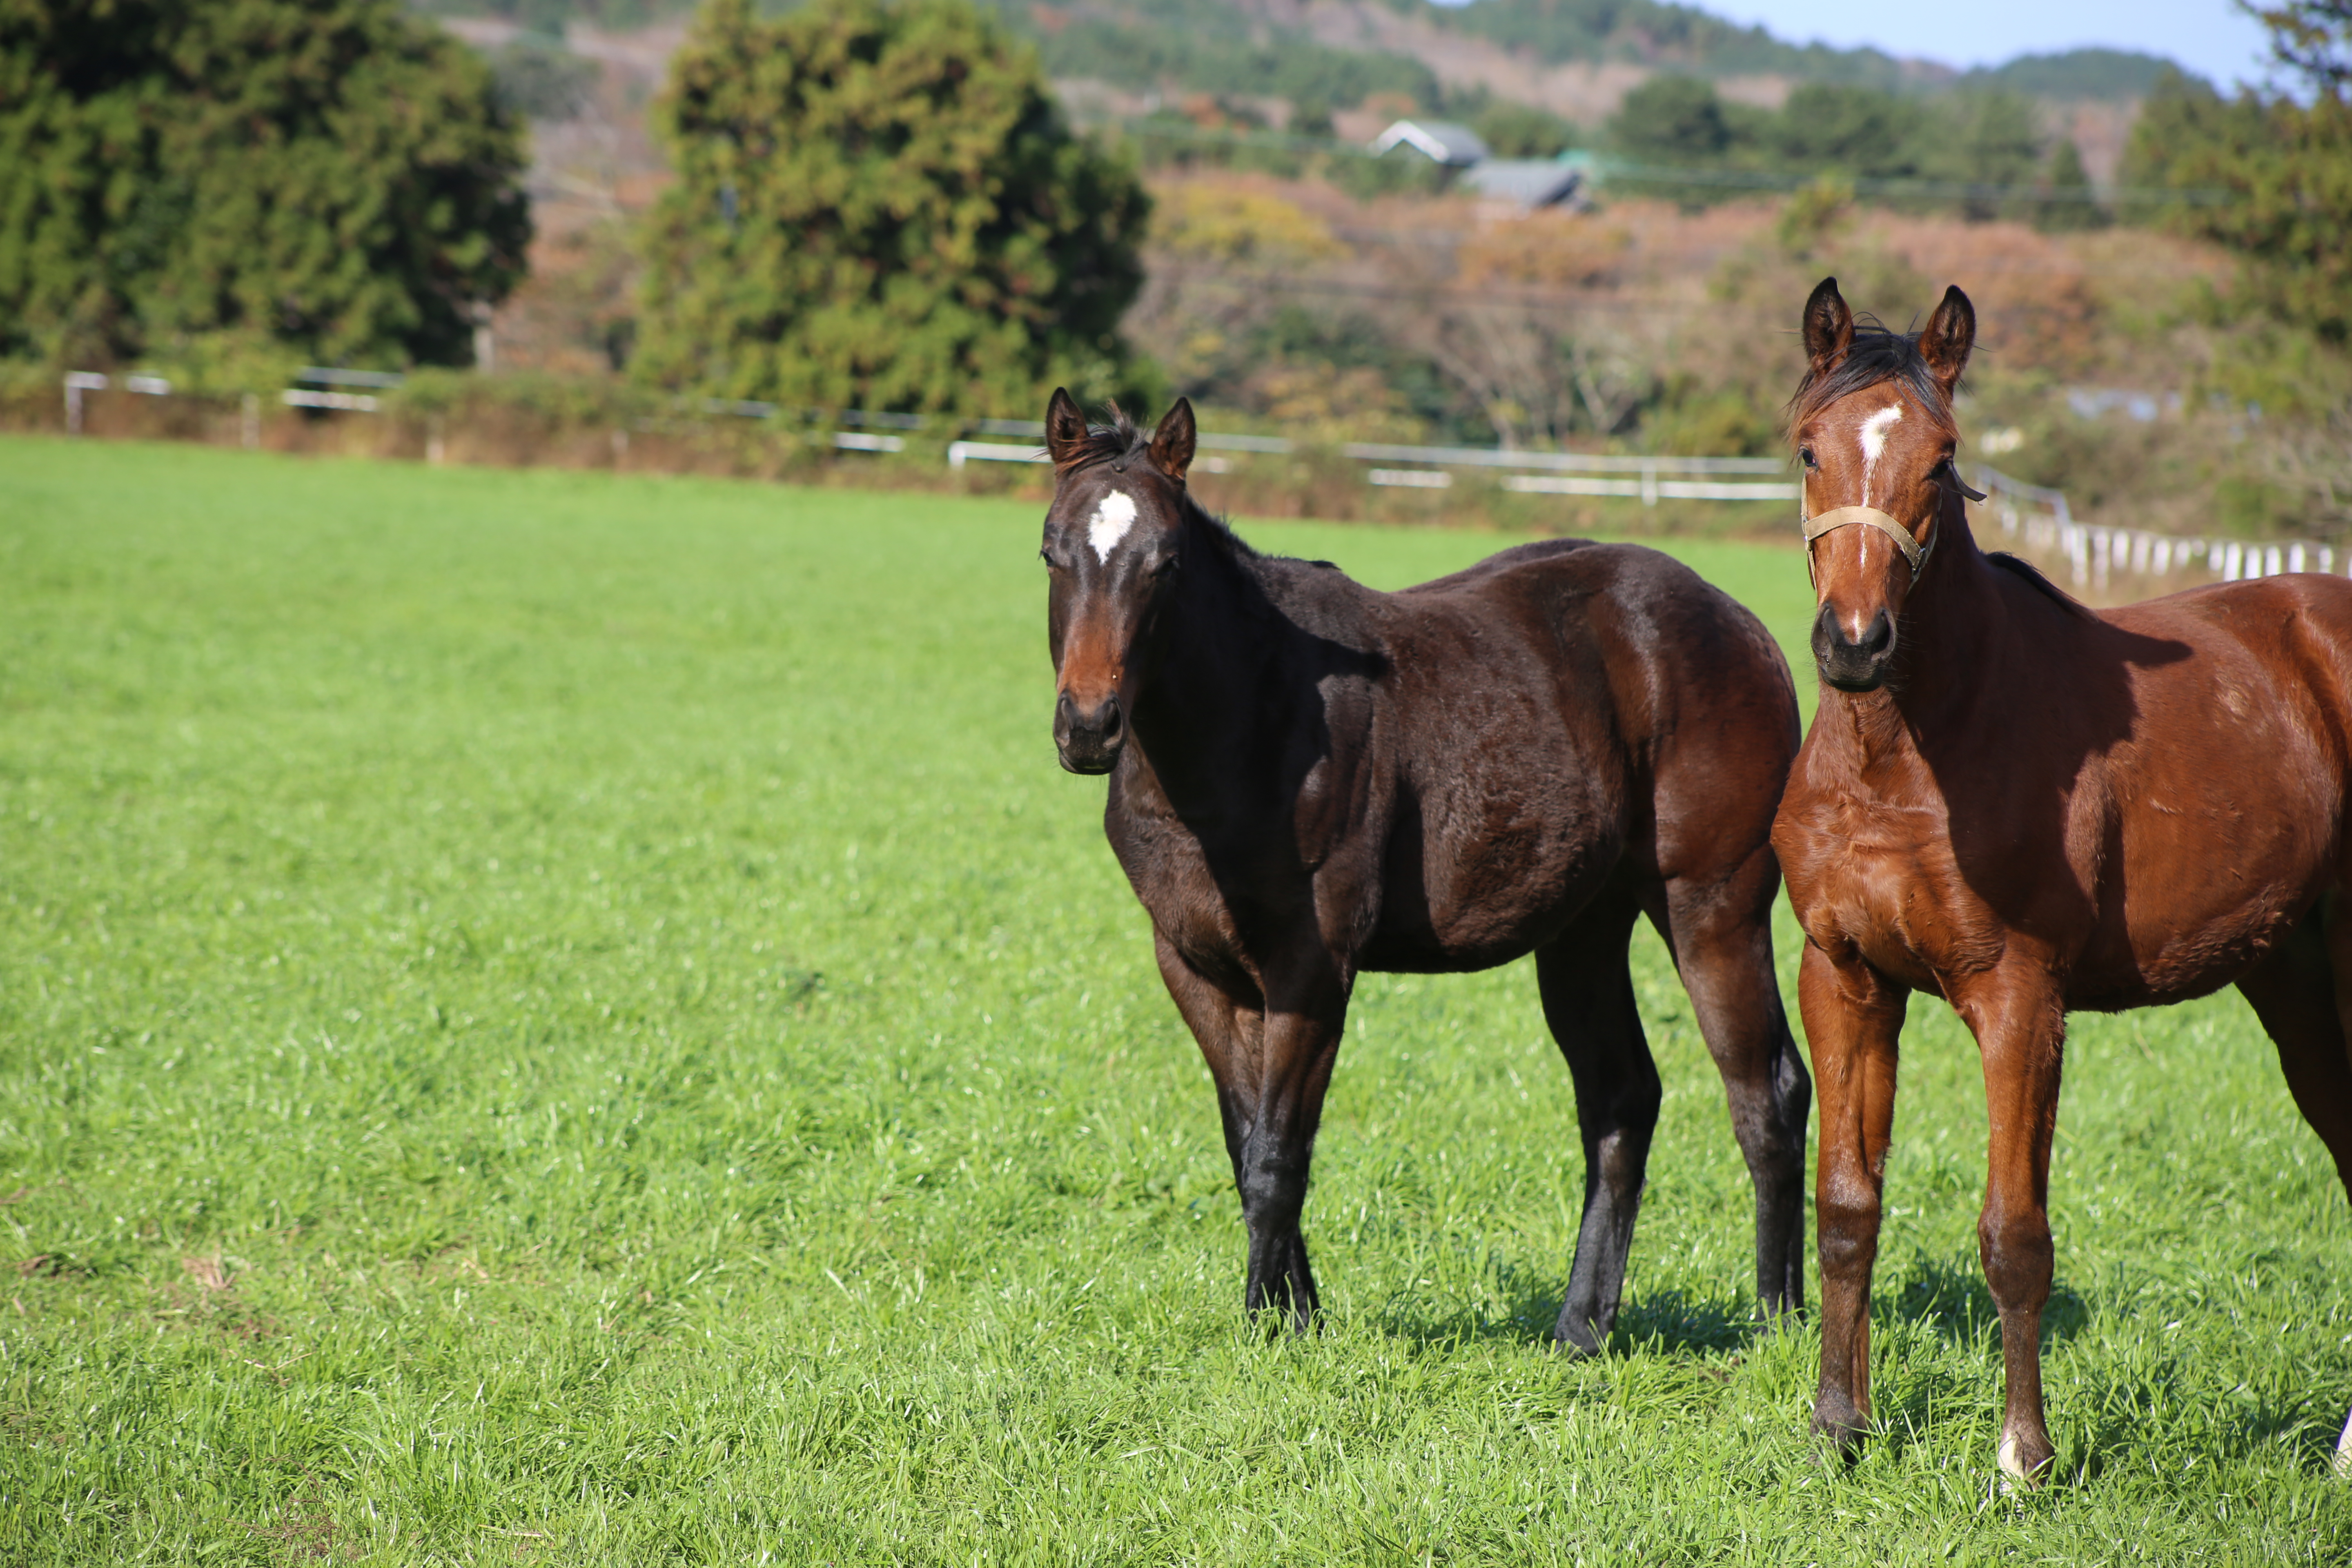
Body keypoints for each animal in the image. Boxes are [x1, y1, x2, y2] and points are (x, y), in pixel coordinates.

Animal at [1039, 390, 1806, 1354]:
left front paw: (1267, 1332)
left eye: (1165, 564)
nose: (1088, 726)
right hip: (1583, 931)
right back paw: (1580, 1329)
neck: (1248, 723)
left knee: (1768, 1093)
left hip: (1714, 908)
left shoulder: (1311, 969)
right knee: (1622, 1100)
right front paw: (1299, 1317)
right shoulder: (1195, 968)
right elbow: (1245, 1142)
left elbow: (1278, 1156)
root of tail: (1745, 626)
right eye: (1051, 550)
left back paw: (1781, 1325)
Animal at [1768, 276, 2352, 1495]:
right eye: (1807, 449)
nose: (1854, 644)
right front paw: (1837, 1430)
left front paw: (2021, 1460)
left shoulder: (2018, 998)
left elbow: (2014, 1235)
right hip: (2295, 987)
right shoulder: (1843, 978)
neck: (1904, 755)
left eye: (1941, 459)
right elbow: (1845, 1206)